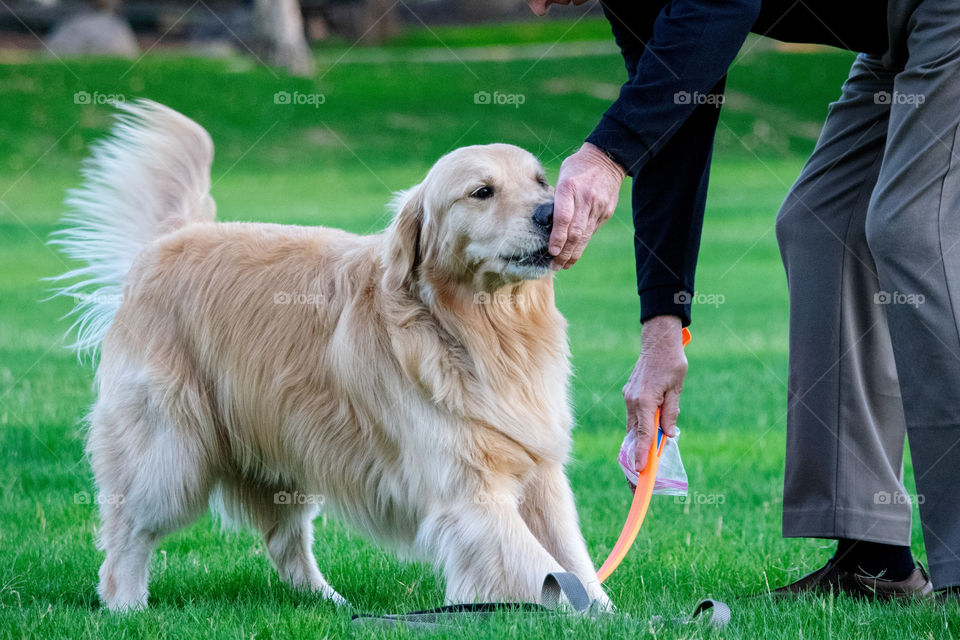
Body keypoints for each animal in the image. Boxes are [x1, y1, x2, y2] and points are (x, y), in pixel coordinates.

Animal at [52, 99, 612, 608]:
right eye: (481, 191)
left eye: (542, 182)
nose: (553, 214)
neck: (479, 328)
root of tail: (168, 241)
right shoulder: (468, 490)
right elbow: (541, 568)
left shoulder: (540, 473)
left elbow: (574, 562)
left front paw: (607, 610)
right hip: (168, 453)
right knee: (129, 531)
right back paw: (126, 605)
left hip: (279, 452)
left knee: (285, 540)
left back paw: (328, 601)